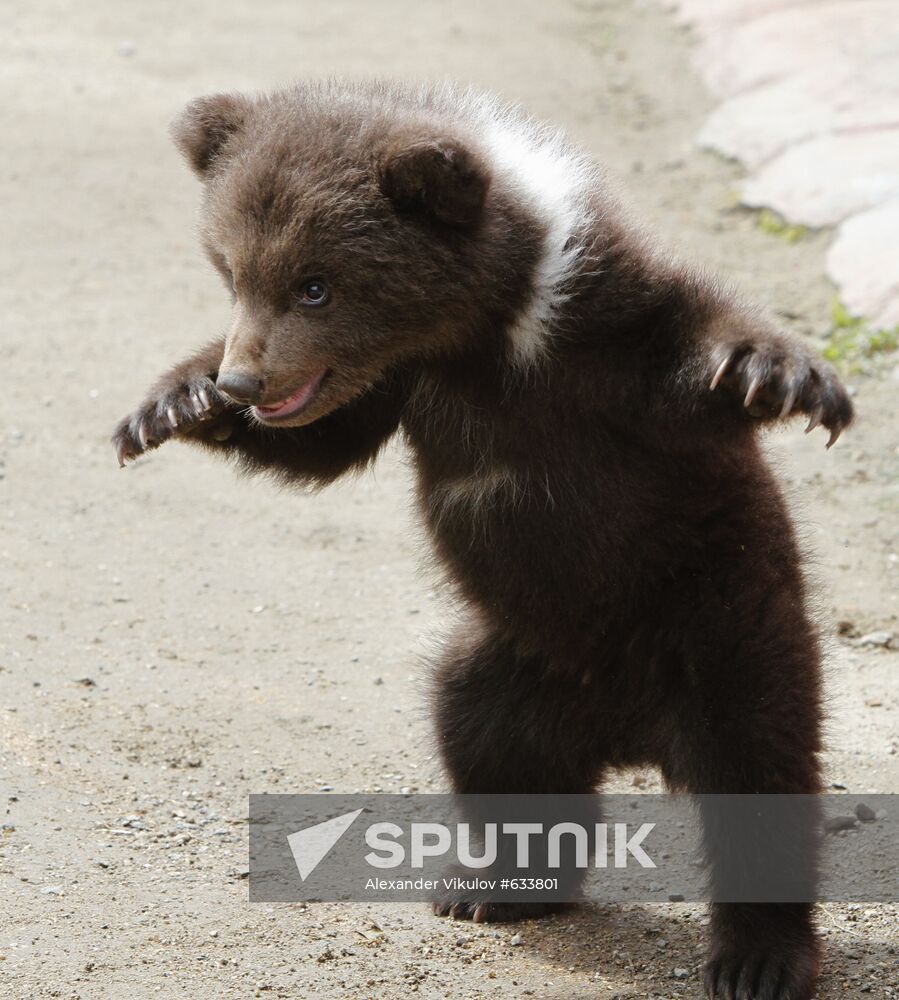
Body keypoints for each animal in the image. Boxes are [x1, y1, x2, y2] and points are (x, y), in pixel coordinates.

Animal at [112, 81, 853, 1000]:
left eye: (315, 285)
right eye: (231, 272)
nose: (244, 381)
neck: (481, 339)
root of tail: (634, 731)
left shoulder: (602, 334)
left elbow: (694, 333)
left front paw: (780, 373)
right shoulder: (400, 385)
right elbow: (325, 441)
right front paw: (170, 404)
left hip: (718, 626)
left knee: (758, 770)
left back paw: (757, 958)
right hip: (512, 661)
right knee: (491, 749)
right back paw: (494, 885)